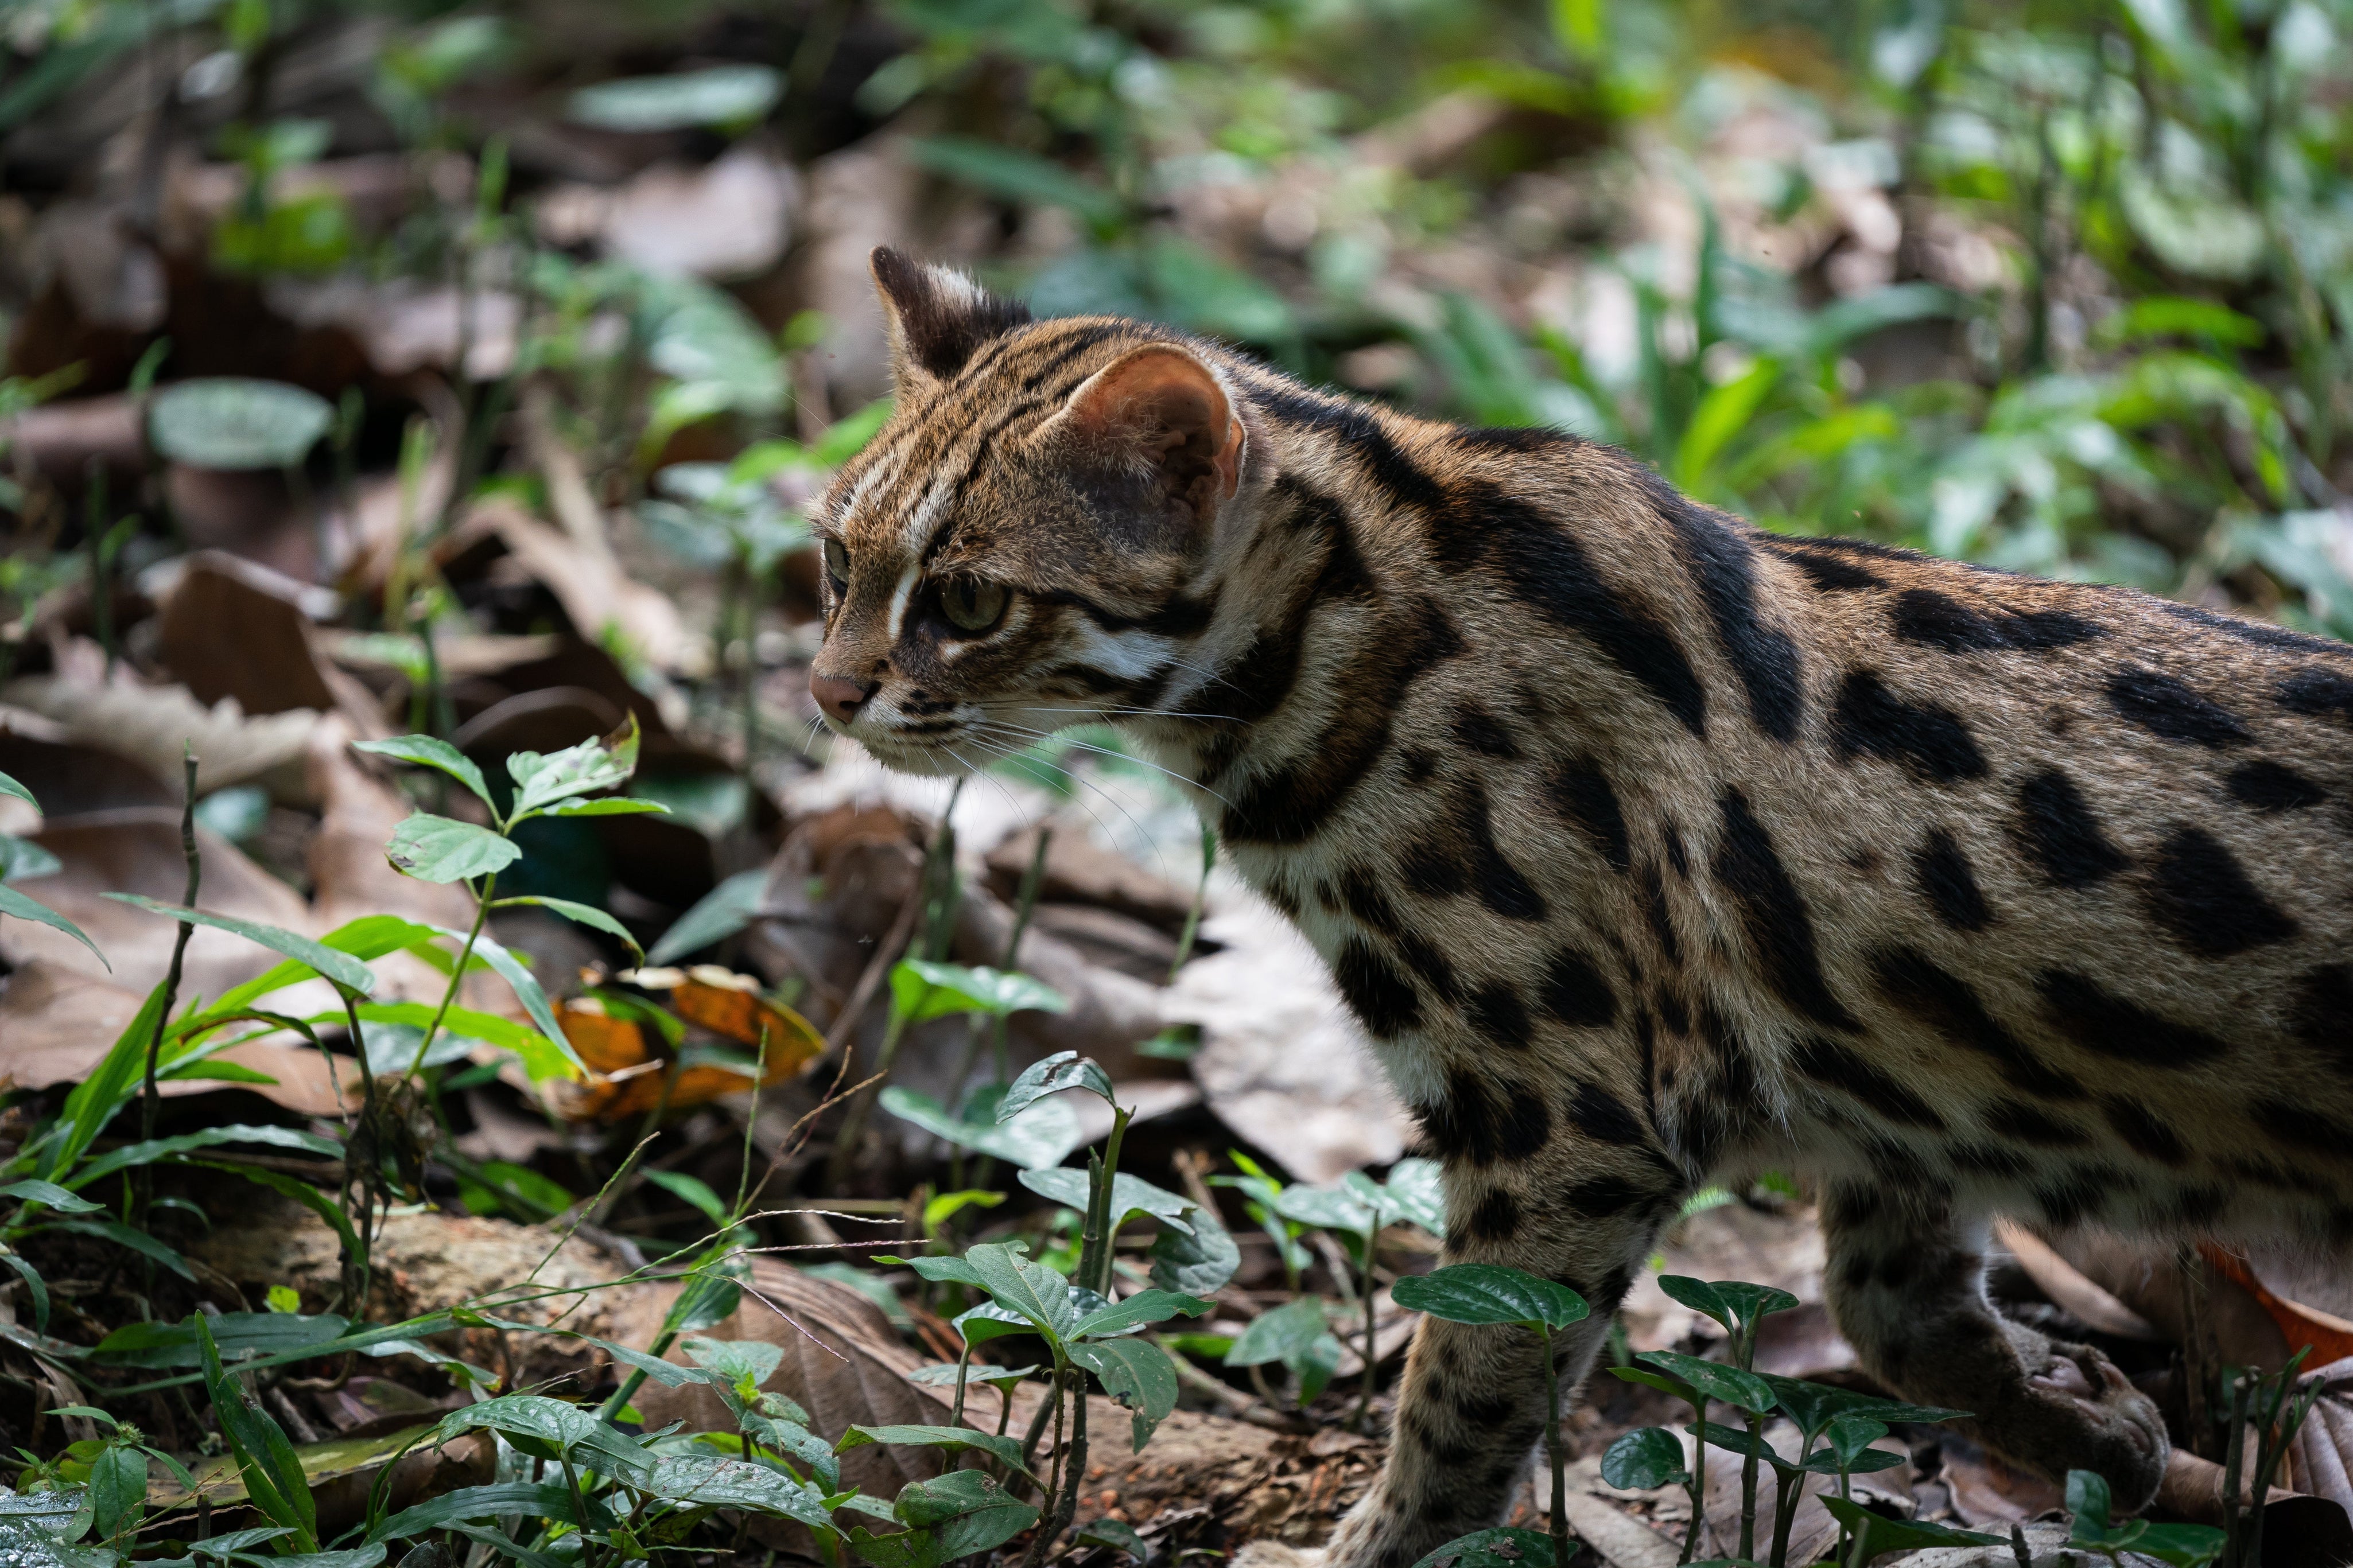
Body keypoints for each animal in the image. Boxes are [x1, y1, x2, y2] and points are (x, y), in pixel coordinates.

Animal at [806, 247, 2353, 1567]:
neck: (1336, 628)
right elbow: (1895, 1311)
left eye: (968, 600)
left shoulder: (1566, 1127)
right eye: (837, 560)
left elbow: (1462, 1396)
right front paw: (2084, 1422)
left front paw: (1363, 1547)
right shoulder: (1894, 1104)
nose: (823, 692)